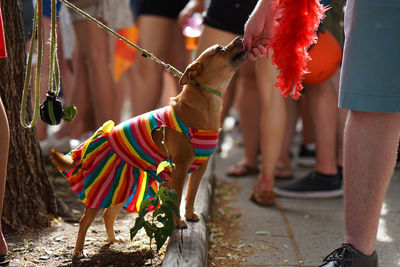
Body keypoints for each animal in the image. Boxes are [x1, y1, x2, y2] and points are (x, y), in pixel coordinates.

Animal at [50, 36, 247, 258]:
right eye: (220, 48)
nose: (240, 37)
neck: (204, 103)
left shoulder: (199, 168)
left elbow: (190, 195)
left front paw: (189, 215)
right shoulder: (180, 168)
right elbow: (176, 199)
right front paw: (178, 221)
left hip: (123, 187)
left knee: (108, 215)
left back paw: (112, 240)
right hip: (104, 189)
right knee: (85, 220)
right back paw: (78, 251)